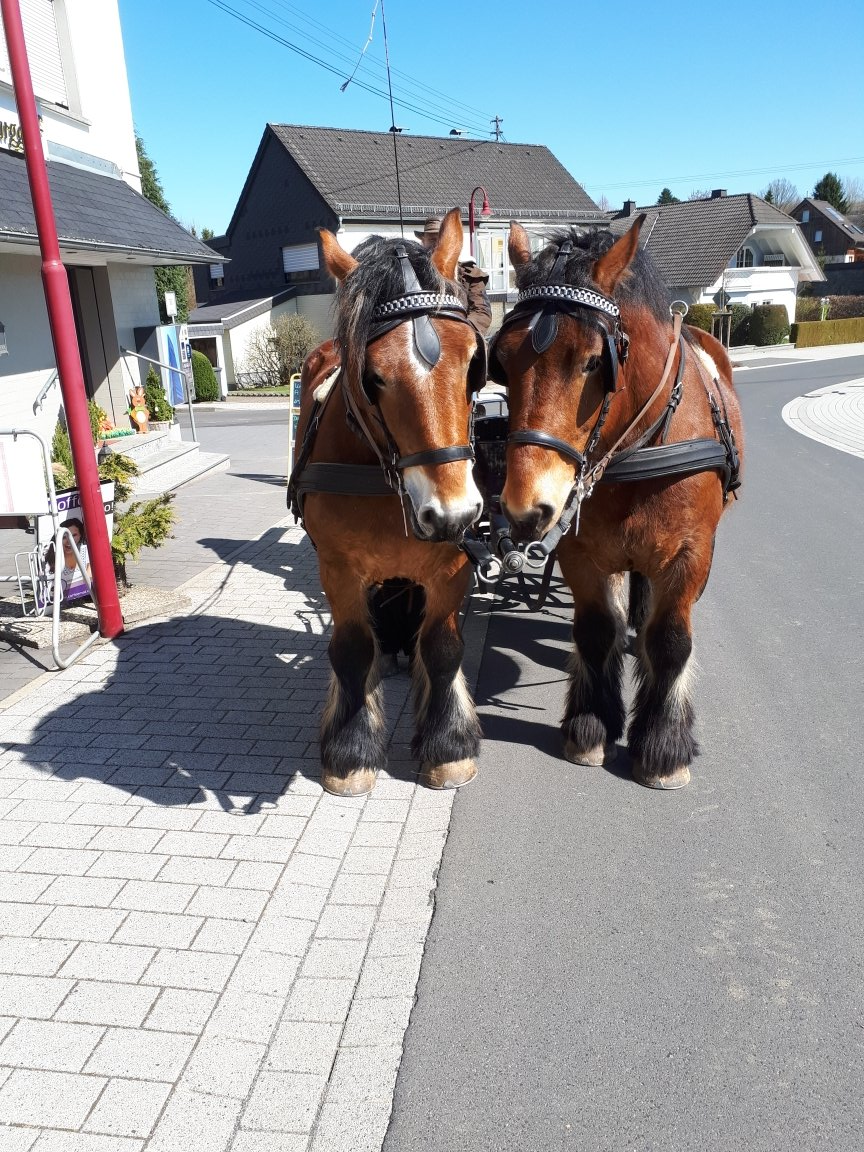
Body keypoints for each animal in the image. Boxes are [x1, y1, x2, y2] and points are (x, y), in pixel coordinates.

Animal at [289, 208, 486, 797]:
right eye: (373, 376)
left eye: (474, 364)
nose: (452, 513)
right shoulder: (338, 570)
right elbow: (352, 650)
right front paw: (351, 751)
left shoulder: (451, 567)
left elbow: (443, 649)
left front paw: (448, 746)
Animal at [489, 214, 743, 789]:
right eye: (503, 363)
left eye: (591, 363)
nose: (527, 509)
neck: (637, 447)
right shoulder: (581, 553)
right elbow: (595, 631)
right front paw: (591, 726)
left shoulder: (688, 555)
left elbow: (670, 640)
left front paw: (663, 746)